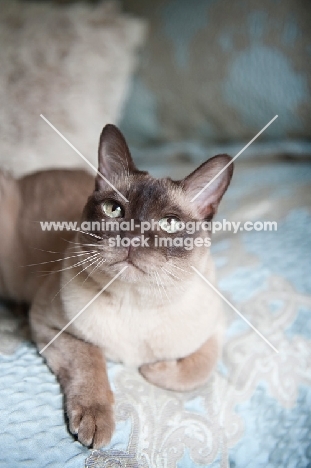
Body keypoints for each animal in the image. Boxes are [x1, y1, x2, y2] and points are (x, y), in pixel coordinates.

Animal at [0, 124, 234, 446]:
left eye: (170, 223)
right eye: (113, 210)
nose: (131, 238)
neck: (135, 303)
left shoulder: (216, 329)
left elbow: (197, 371)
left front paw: (152, 368)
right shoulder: (52, 327)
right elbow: (92, 363)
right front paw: (96, 423)